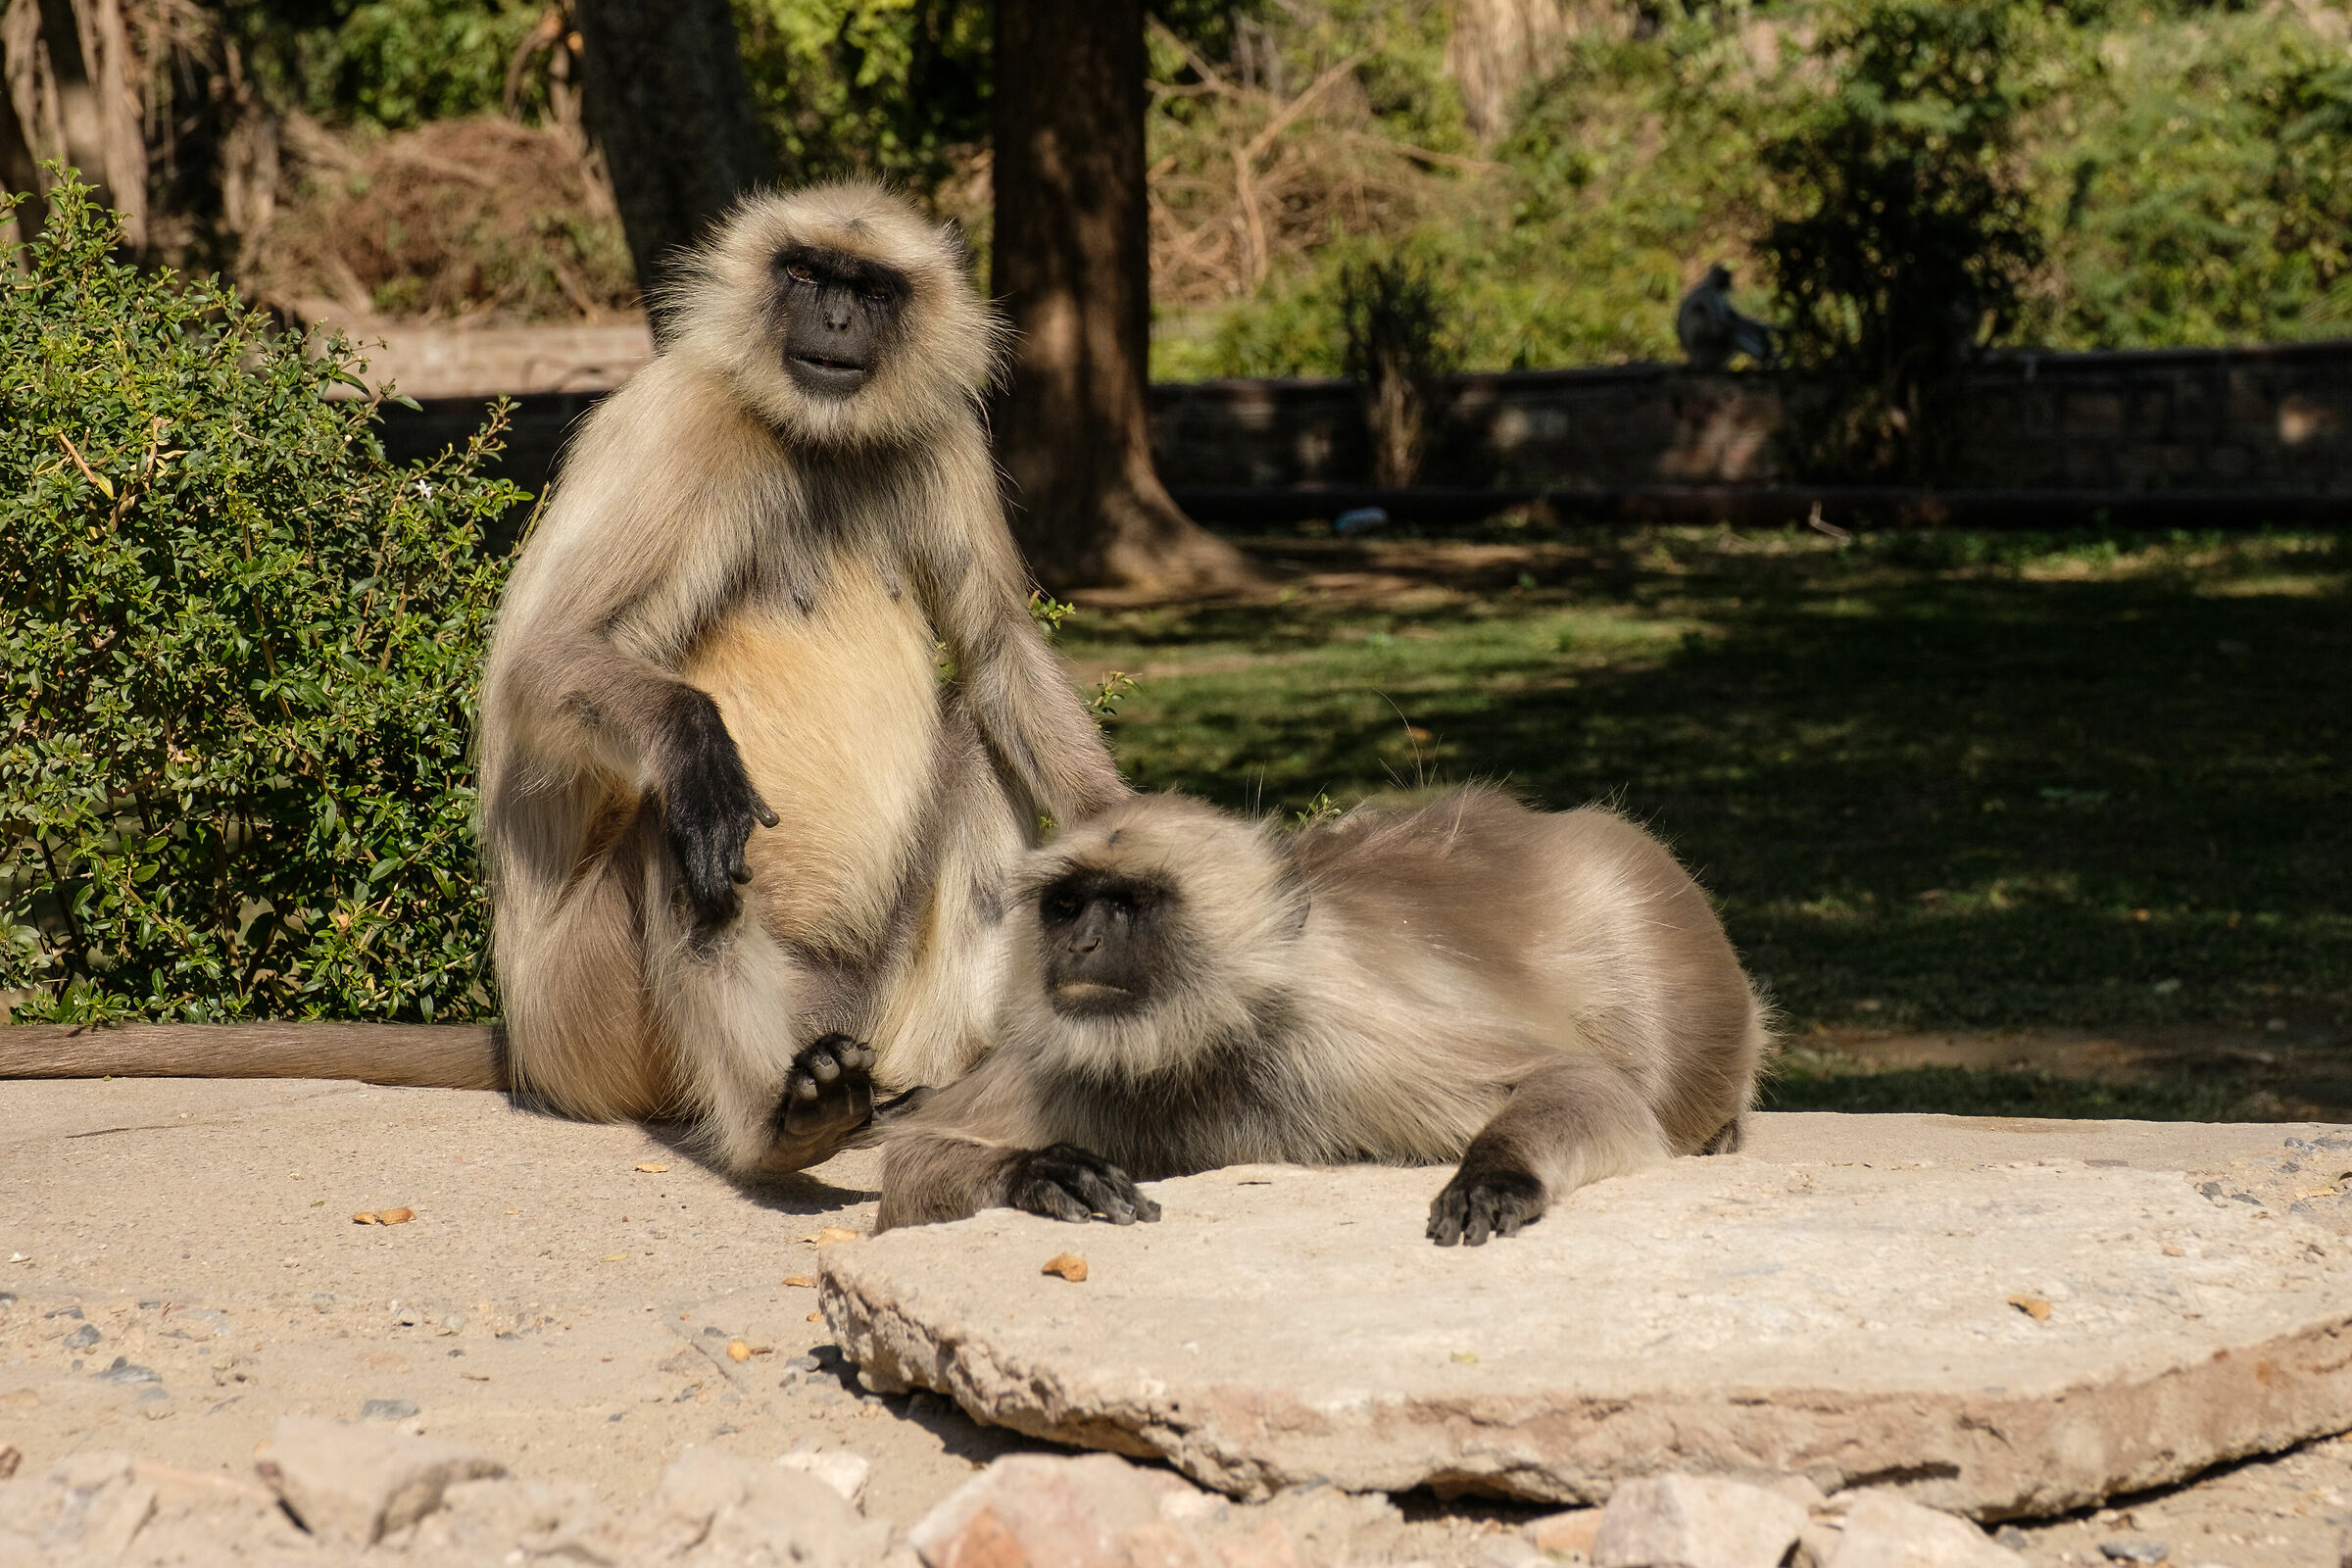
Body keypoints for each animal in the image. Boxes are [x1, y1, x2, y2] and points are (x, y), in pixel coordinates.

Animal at [472, 182, 1127, 1177]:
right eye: (808, 274)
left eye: (871, 288)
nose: (836, 317)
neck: (817, 440)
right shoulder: (677, 418)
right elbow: (540, 658)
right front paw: (695, 741)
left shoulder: (946, 435)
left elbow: (996, 647)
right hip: (588, 1026)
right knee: (678, 812)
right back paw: (782, 1125)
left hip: (870, 999)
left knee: (978, 730)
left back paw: (928, 1089)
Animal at [875, 787, 1770, 1245]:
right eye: (1065, 905)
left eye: (1127, 905)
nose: (1081, 944)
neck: (1206, 1048)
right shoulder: (1065, 1056)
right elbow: (911, 1164)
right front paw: (1047, 1170)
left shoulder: (1338, 1027)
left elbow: (1577, 1080)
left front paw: (1495, 1173)